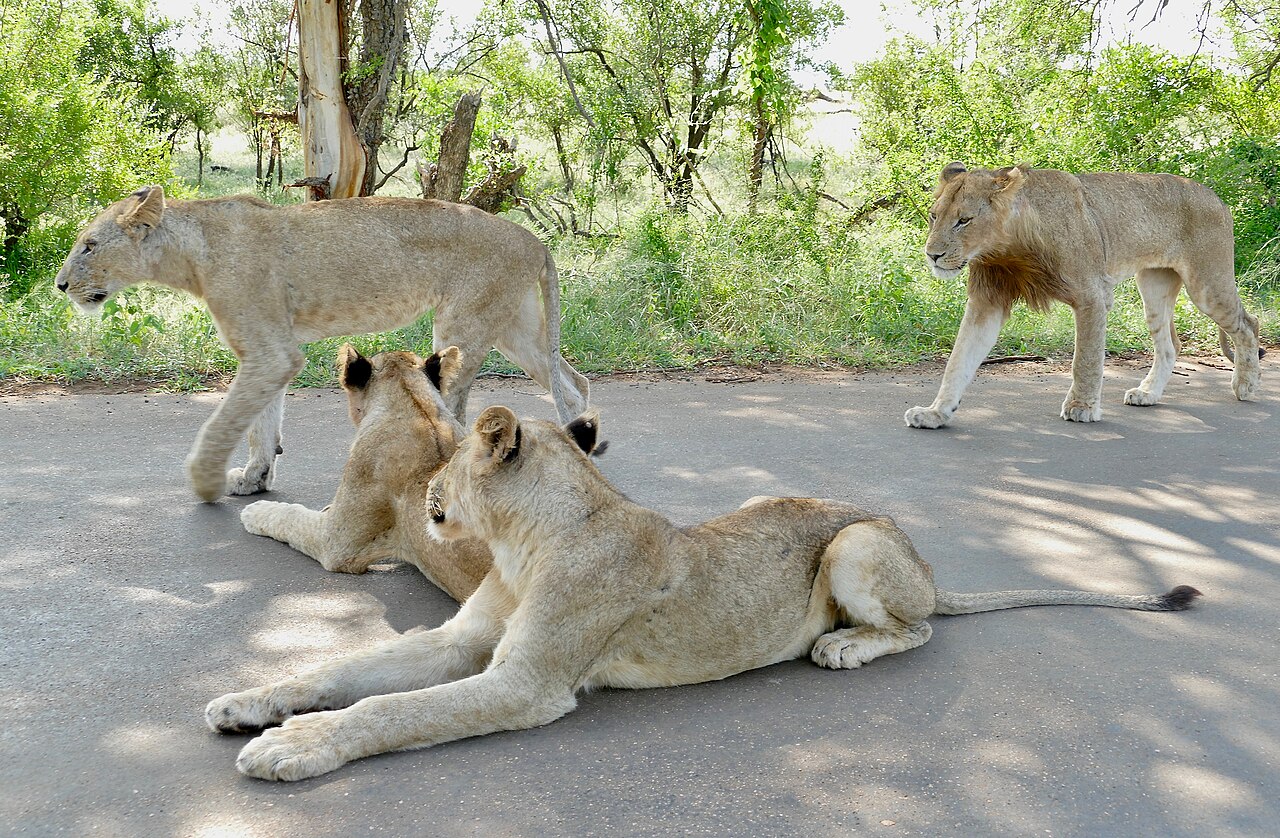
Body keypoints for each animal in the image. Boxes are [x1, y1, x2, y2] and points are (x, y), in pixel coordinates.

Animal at [54, 186, 590, 501]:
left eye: (89, 246)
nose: (59, 286)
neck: (190, 253)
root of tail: (534, 239)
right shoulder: (271, 352)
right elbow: (261, 422)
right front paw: (256, 477)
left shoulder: (270, 352)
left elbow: (227, 421)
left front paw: (205, 482)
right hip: (514, 329)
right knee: (573, 381)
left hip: (464, 325)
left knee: (459, 414)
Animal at [206, 407, 1201, 781]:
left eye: (446, 459)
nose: (425, 499)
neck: (525, 543)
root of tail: (928, 566)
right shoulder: (460, 643)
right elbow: (345, 669)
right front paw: (248, 698)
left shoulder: (527, 686)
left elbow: (390, 711)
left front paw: (294, 747)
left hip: (856, 543)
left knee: (918, 631)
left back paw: (842, 646)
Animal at [906, 163, 1263, 429]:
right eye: (934, 216)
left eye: (964, 220)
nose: (932, 255)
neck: (1006, 248)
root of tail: (1216, 197)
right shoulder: (987, 302)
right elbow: (958, 361)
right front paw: (935, 413)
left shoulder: (1093, 296)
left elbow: (1086, 360)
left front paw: (1082, 407)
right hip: (1153, 285)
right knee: (1170, 345)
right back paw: (1148, 394)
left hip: (1206, 285)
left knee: (1248, 324)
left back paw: (1246, 385)